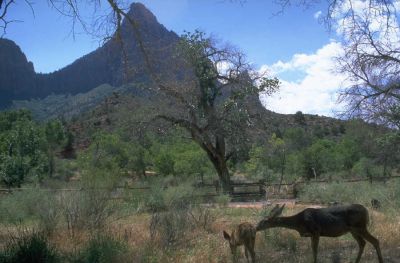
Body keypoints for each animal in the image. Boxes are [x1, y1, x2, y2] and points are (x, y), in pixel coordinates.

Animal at [256, 204, 384, 263]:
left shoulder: (316, 230)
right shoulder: (311, 234)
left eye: (263, 221)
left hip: (360, 226)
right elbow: (313, 249)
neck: (299, 222)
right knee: (362, 243)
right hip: (353, 230)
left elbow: (315, 249)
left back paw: (380, 260)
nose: (256, 227)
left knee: (375, 240)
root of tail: (366, 210)